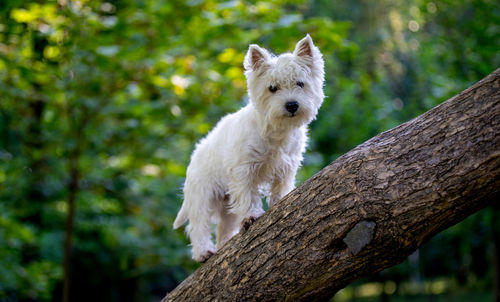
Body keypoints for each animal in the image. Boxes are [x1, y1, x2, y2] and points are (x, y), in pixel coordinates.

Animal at [174, 34, 326, 262]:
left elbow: (280, 186)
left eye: (300, 84)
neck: (276, 131)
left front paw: (280, 200)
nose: (291, 105)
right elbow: (248, 195)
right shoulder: (243, 169)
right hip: (202, 195)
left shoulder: (286, 164)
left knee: (224, 227)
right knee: (199, 225)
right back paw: (204, 252)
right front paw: (251, 216)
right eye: (272, 88)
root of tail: (195, 155)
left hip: (225, 206)